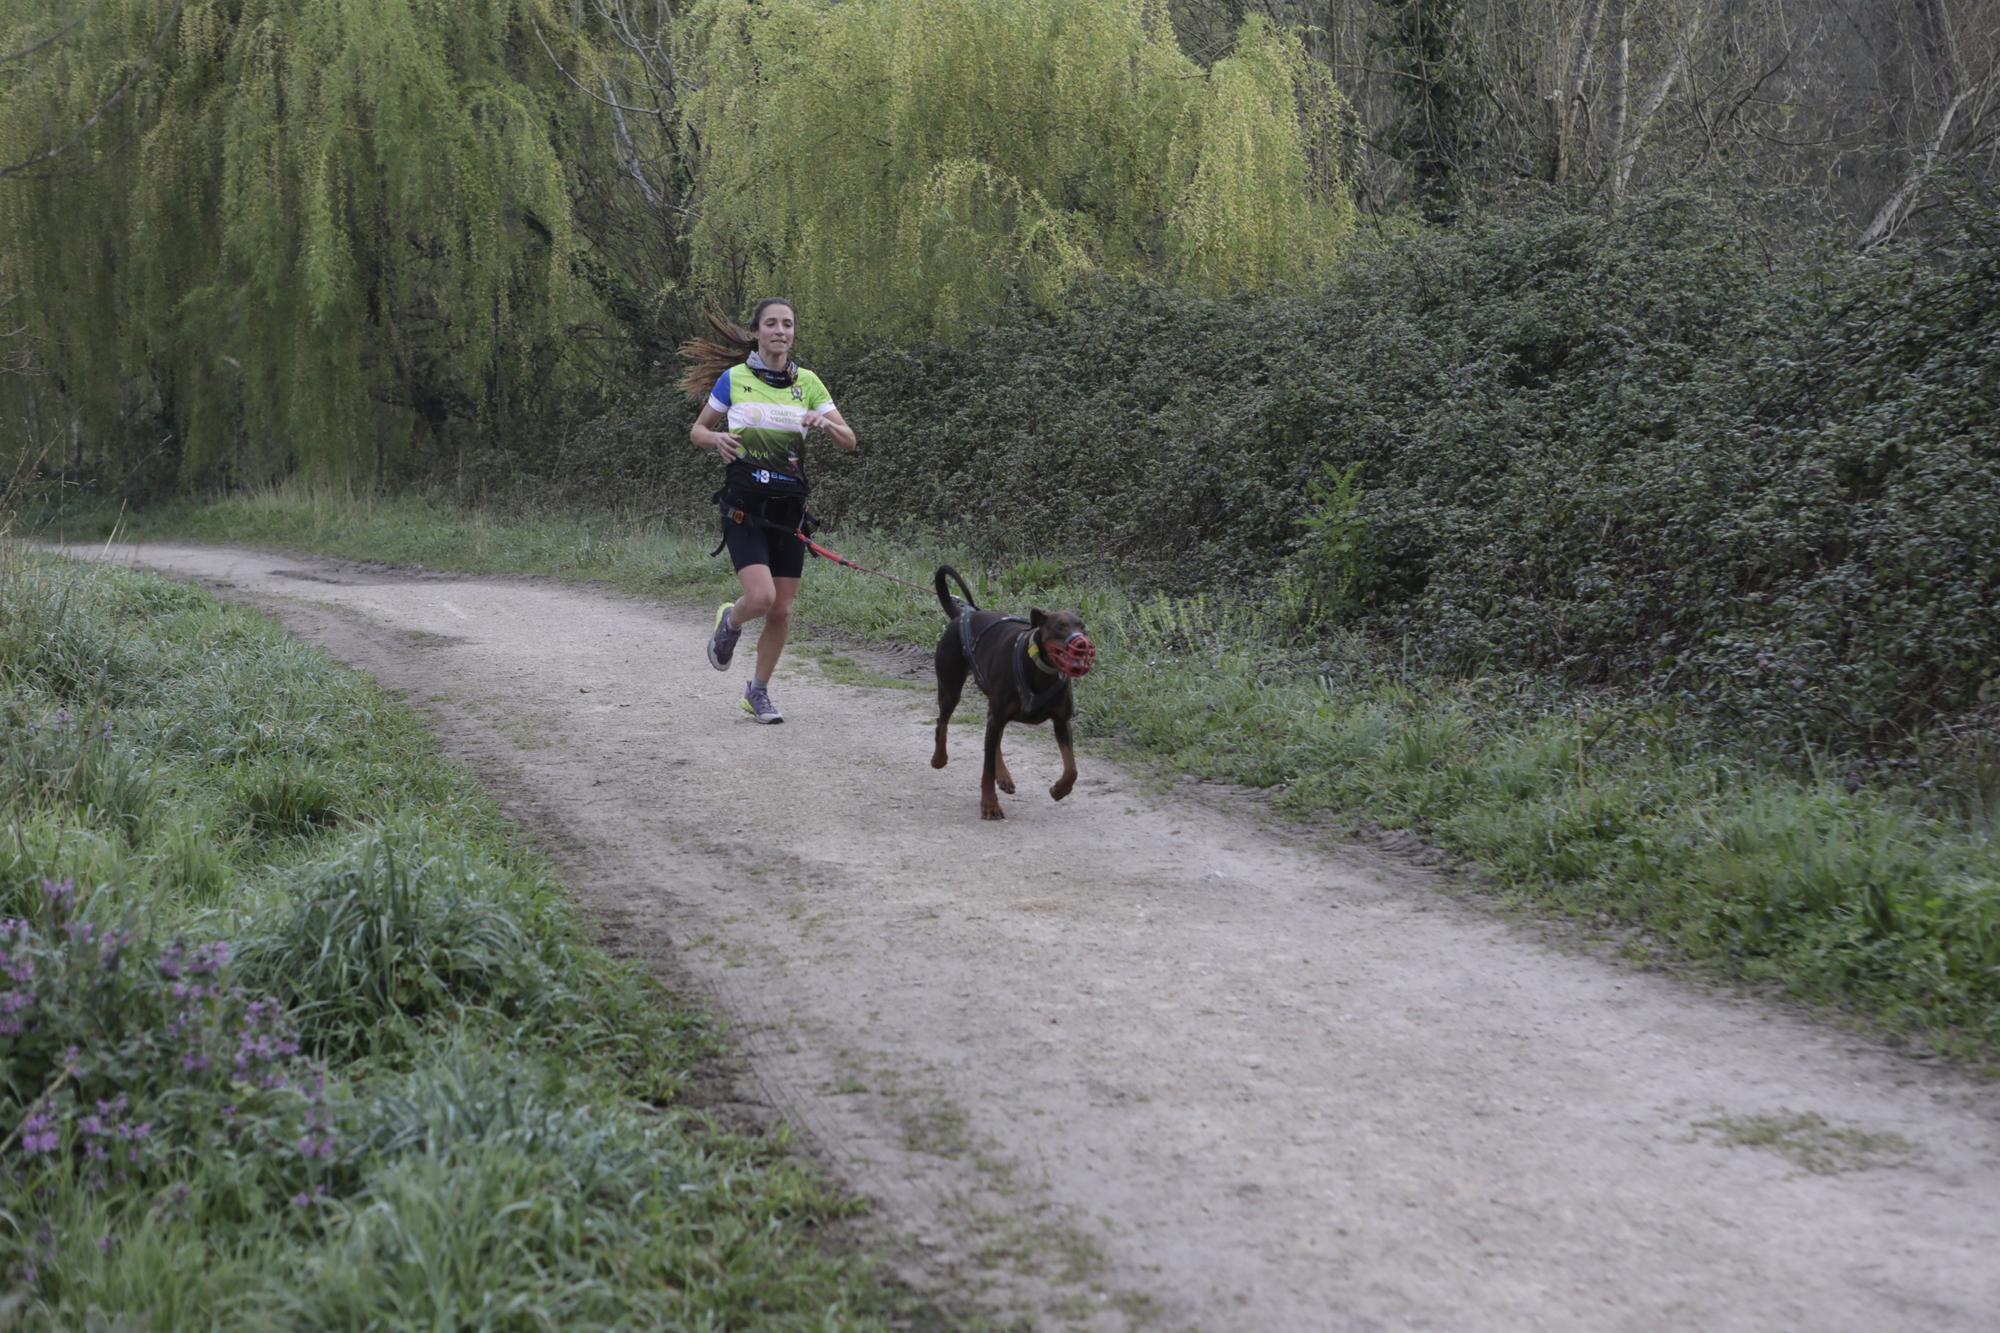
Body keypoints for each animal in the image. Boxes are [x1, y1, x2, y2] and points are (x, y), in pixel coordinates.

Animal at [932, 564, 1104, 816]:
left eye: (1082, 626)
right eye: (1059, 627)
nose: (1082, 643)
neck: (1042, 671)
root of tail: (962, 615)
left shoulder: (1062, 721)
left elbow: (1072, 768)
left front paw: (1059, 789)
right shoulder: (998, 715)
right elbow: (986, 771)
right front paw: (990, 805)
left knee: (994, 739)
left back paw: (1003, 776)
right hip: (951, 686)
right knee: (942, 722)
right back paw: (939, 758)